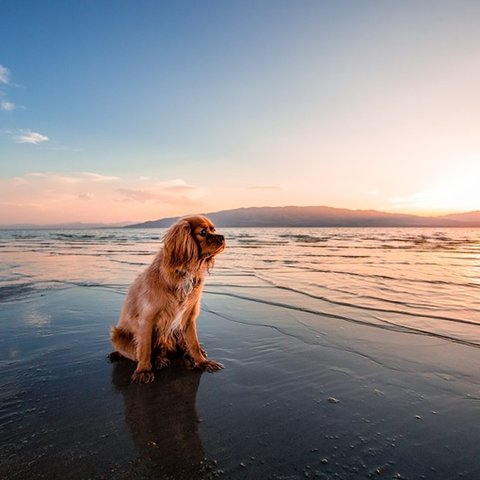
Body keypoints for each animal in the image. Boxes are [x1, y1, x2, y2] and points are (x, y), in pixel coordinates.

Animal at [109, 216, 226, 384]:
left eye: (213, 230)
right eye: (203, 232)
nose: (222, 237)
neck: (184, 271)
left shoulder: (188, 318)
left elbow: (194, 343)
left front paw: (202, 362)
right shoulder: (147, 319)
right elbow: (145, 348)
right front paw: (143, 370)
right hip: (117, 336)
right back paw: (157, 360)